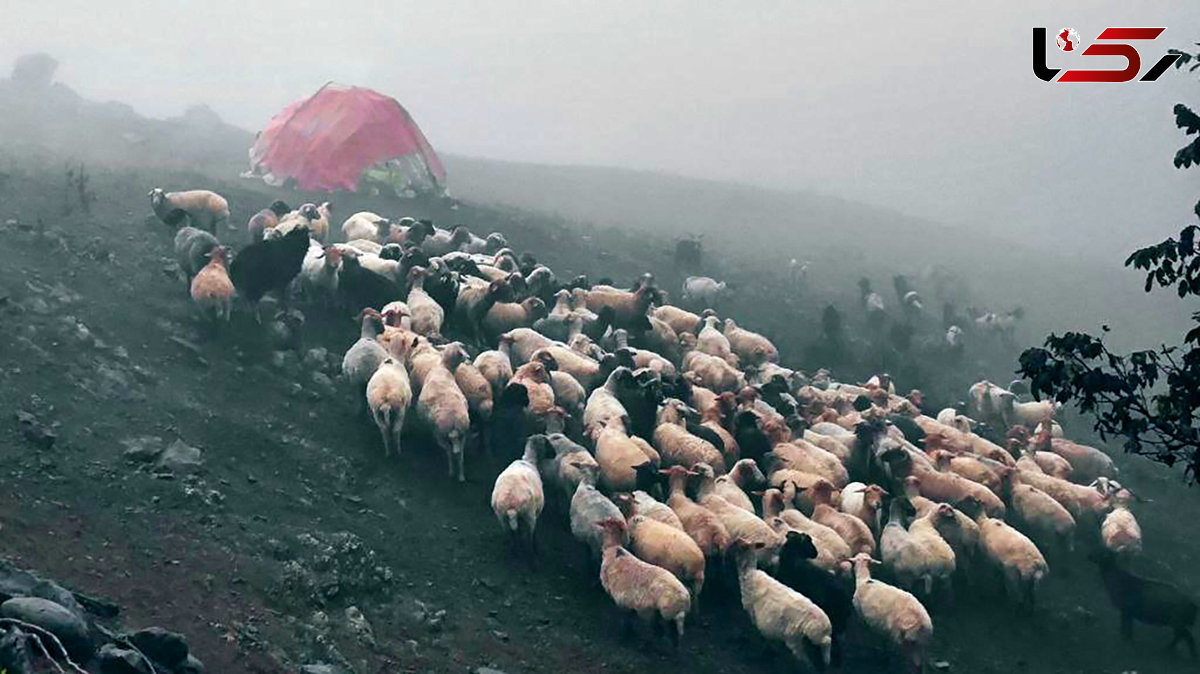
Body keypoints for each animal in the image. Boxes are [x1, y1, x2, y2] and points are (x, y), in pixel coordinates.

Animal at [772, 530, 859, 666]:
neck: (792, 559)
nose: (816, 553)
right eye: (808, 542)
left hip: (835, 619)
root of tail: (847, 601)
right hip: (838, 621)